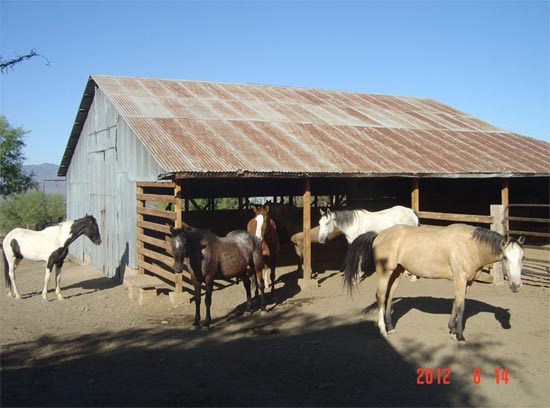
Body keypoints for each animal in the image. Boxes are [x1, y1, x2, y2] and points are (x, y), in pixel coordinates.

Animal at [344, 223, 528, 342]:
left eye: (523, 257)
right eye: (505, 257)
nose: (516, 285)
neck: (470, 245)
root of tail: (380, 233)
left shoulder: (467, 282)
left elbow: (456, 303)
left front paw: (451, 329)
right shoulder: (460, 278)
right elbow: (461, 306)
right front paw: (459, 335)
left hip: (397, 272)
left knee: (389, 297)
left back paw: (391, 327)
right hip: (385, 273)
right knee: (381, 297)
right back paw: (383, 331)